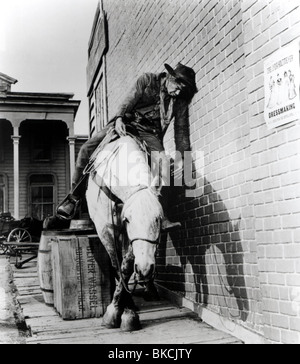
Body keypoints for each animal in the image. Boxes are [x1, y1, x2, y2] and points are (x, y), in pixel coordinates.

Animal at [85, 134, 163, 332]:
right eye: (128, 219)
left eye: (158, 218)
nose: (145, 268)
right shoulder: (106, 229)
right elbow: (116, 265)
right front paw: (113, 312)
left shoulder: (130, 238)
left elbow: (126, 267)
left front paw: (127, 313)